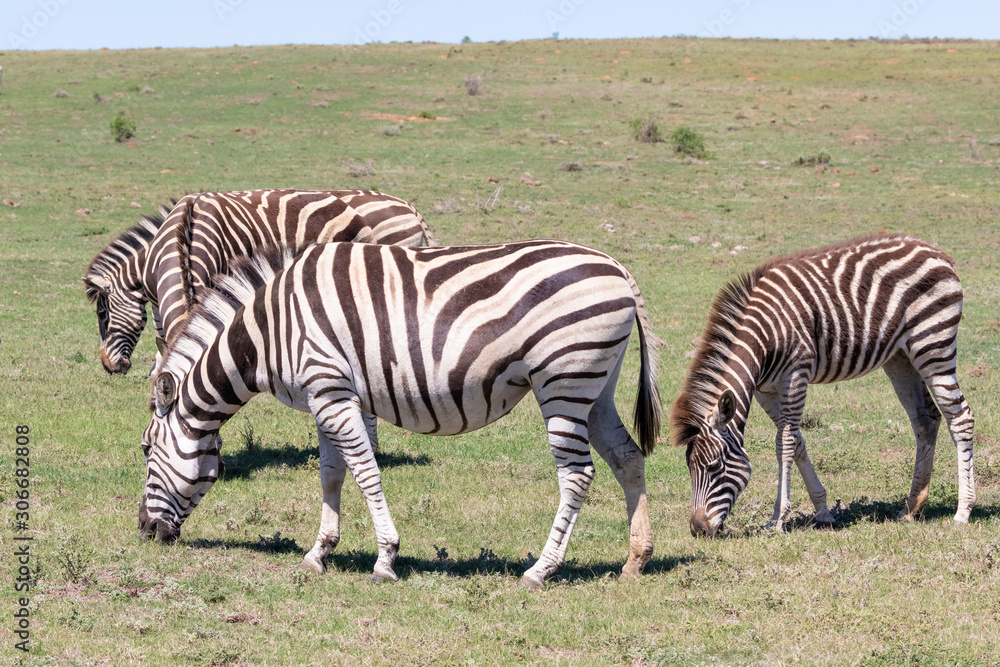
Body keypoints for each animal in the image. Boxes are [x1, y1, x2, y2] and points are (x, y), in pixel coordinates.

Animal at [138, 240, 662, 588]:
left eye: (145, 450)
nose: (144, 532)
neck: (271, 330)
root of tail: (617, 267)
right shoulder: (328, 394)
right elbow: (332, 473)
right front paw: (319, 552)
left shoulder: (330, 389)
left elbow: (365, 471)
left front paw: (385, 559)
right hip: (596, 388)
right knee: (627, 457)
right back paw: (635, 561)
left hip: (564, 382)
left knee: (577, 474)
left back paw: (540, 570)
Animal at [670, 234, 975, 537]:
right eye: (689, 468)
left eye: (714, 467)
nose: (698, 529)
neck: (763, 341)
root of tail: (934, 249)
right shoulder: (765, 390)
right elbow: (797, 441)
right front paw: (823, 512)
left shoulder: (796, 374)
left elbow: (785, 443)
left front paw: (777, 519)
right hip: (901, 357)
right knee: (925, 419)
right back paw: (911, 508)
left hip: (933, 344)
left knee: (961, 418)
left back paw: (963, 512)